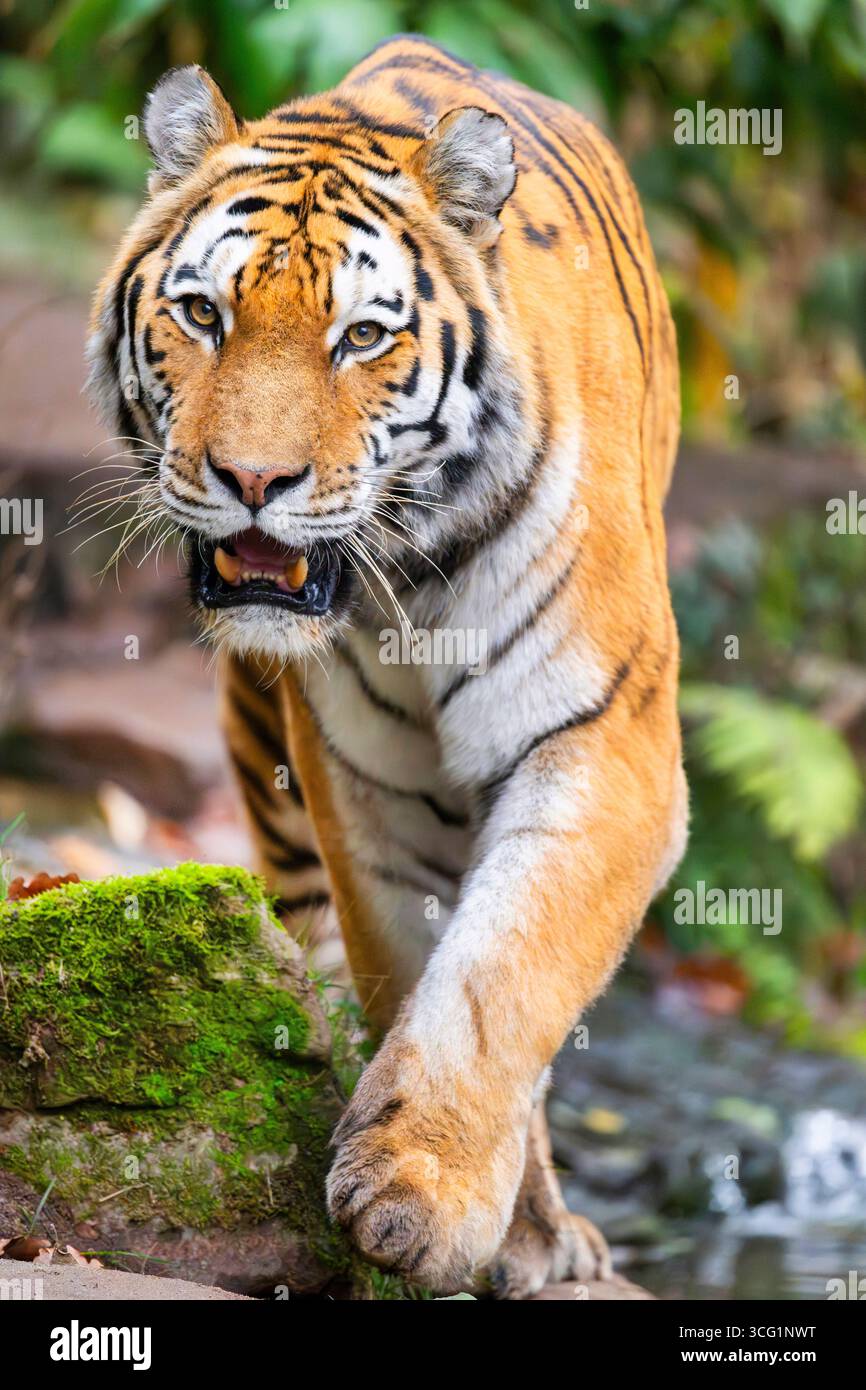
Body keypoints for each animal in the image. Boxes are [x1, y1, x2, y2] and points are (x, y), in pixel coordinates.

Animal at [87, 33, 687, 1297]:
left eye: (362, 335)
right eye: (202, 313)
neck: (417, 572)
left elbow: (503, 974)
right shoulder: (365, 778)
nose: (251, 480)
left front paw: (421, 1196)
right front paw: (473, 1209)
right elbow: (413, 962)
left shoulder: (602, 743)